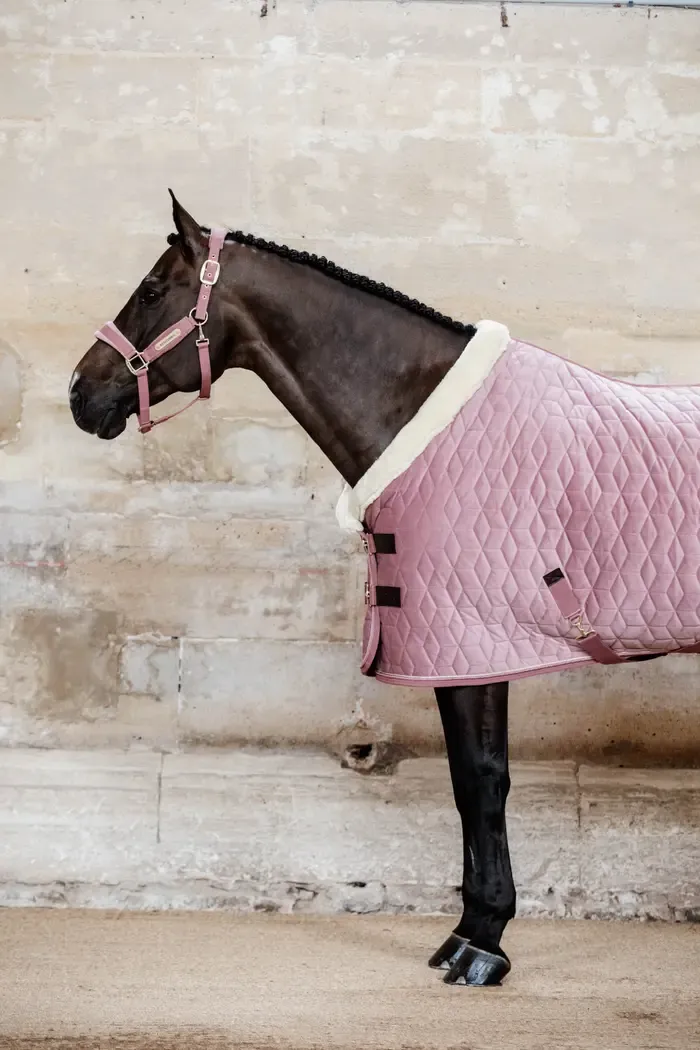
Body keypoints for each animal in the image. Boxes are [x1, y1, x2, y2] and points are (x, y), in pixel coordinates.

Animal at [71, 192, 699, 986]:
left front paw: (480, 943)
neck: (424, 418)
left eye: (153, 291)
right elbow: (471, 786)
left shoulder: (470, 648)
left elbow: (480, 782)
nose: (79, 393)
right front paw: (472, 929)